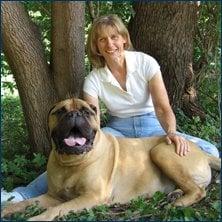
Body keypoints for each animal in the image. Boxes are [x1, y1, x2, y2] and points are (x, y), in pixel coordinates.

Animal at [1, 98, 220, 220]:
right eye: (60, 111)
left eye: (86, 112)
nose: (74, 114)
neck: (71, 162)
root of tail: (203, 152)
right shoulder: (51, 196)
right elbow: (23, 204)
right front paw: (7, 209)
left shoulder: (91, 196)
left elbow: (56, 210)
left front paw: (35, 219)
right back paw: (175, 194)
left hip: (160, 152)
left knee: (199, 190)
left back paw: (178, 203)